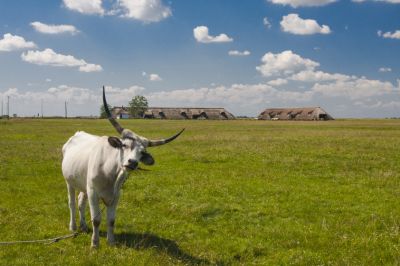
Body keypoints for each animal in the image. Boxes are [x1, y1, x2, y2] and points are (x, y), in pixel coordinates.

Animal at [61, 87, 184, 247]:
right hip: (69, 182)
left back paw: (83, 226)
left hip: (83, 184)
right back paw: (73, 226)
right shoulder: (93, 192)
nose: (132, 163)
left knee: (81, 201)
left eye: (142, 152)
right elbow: (96, 220)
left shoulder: (115, 196)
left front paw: (111, 241)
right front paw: (95, 243)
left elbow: (111, 221)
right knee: (72, 203)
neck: (110, 173)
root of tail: (76, 135)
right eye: (124, 145)